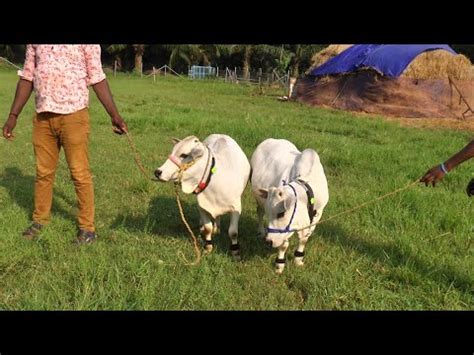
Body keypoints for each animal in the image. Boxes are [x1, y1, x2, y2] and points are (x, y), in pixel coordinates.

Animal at [250, 139, 328, 276]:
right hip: (259, 201)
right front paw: (279, 265)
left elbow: (303, 240)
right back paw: (261, 231)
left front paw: (298, 260)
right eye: (271, 214)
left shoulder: (317, 216)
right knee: (259, 212)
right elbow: (283, 245)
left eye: (281, 213)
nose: (269, 241)